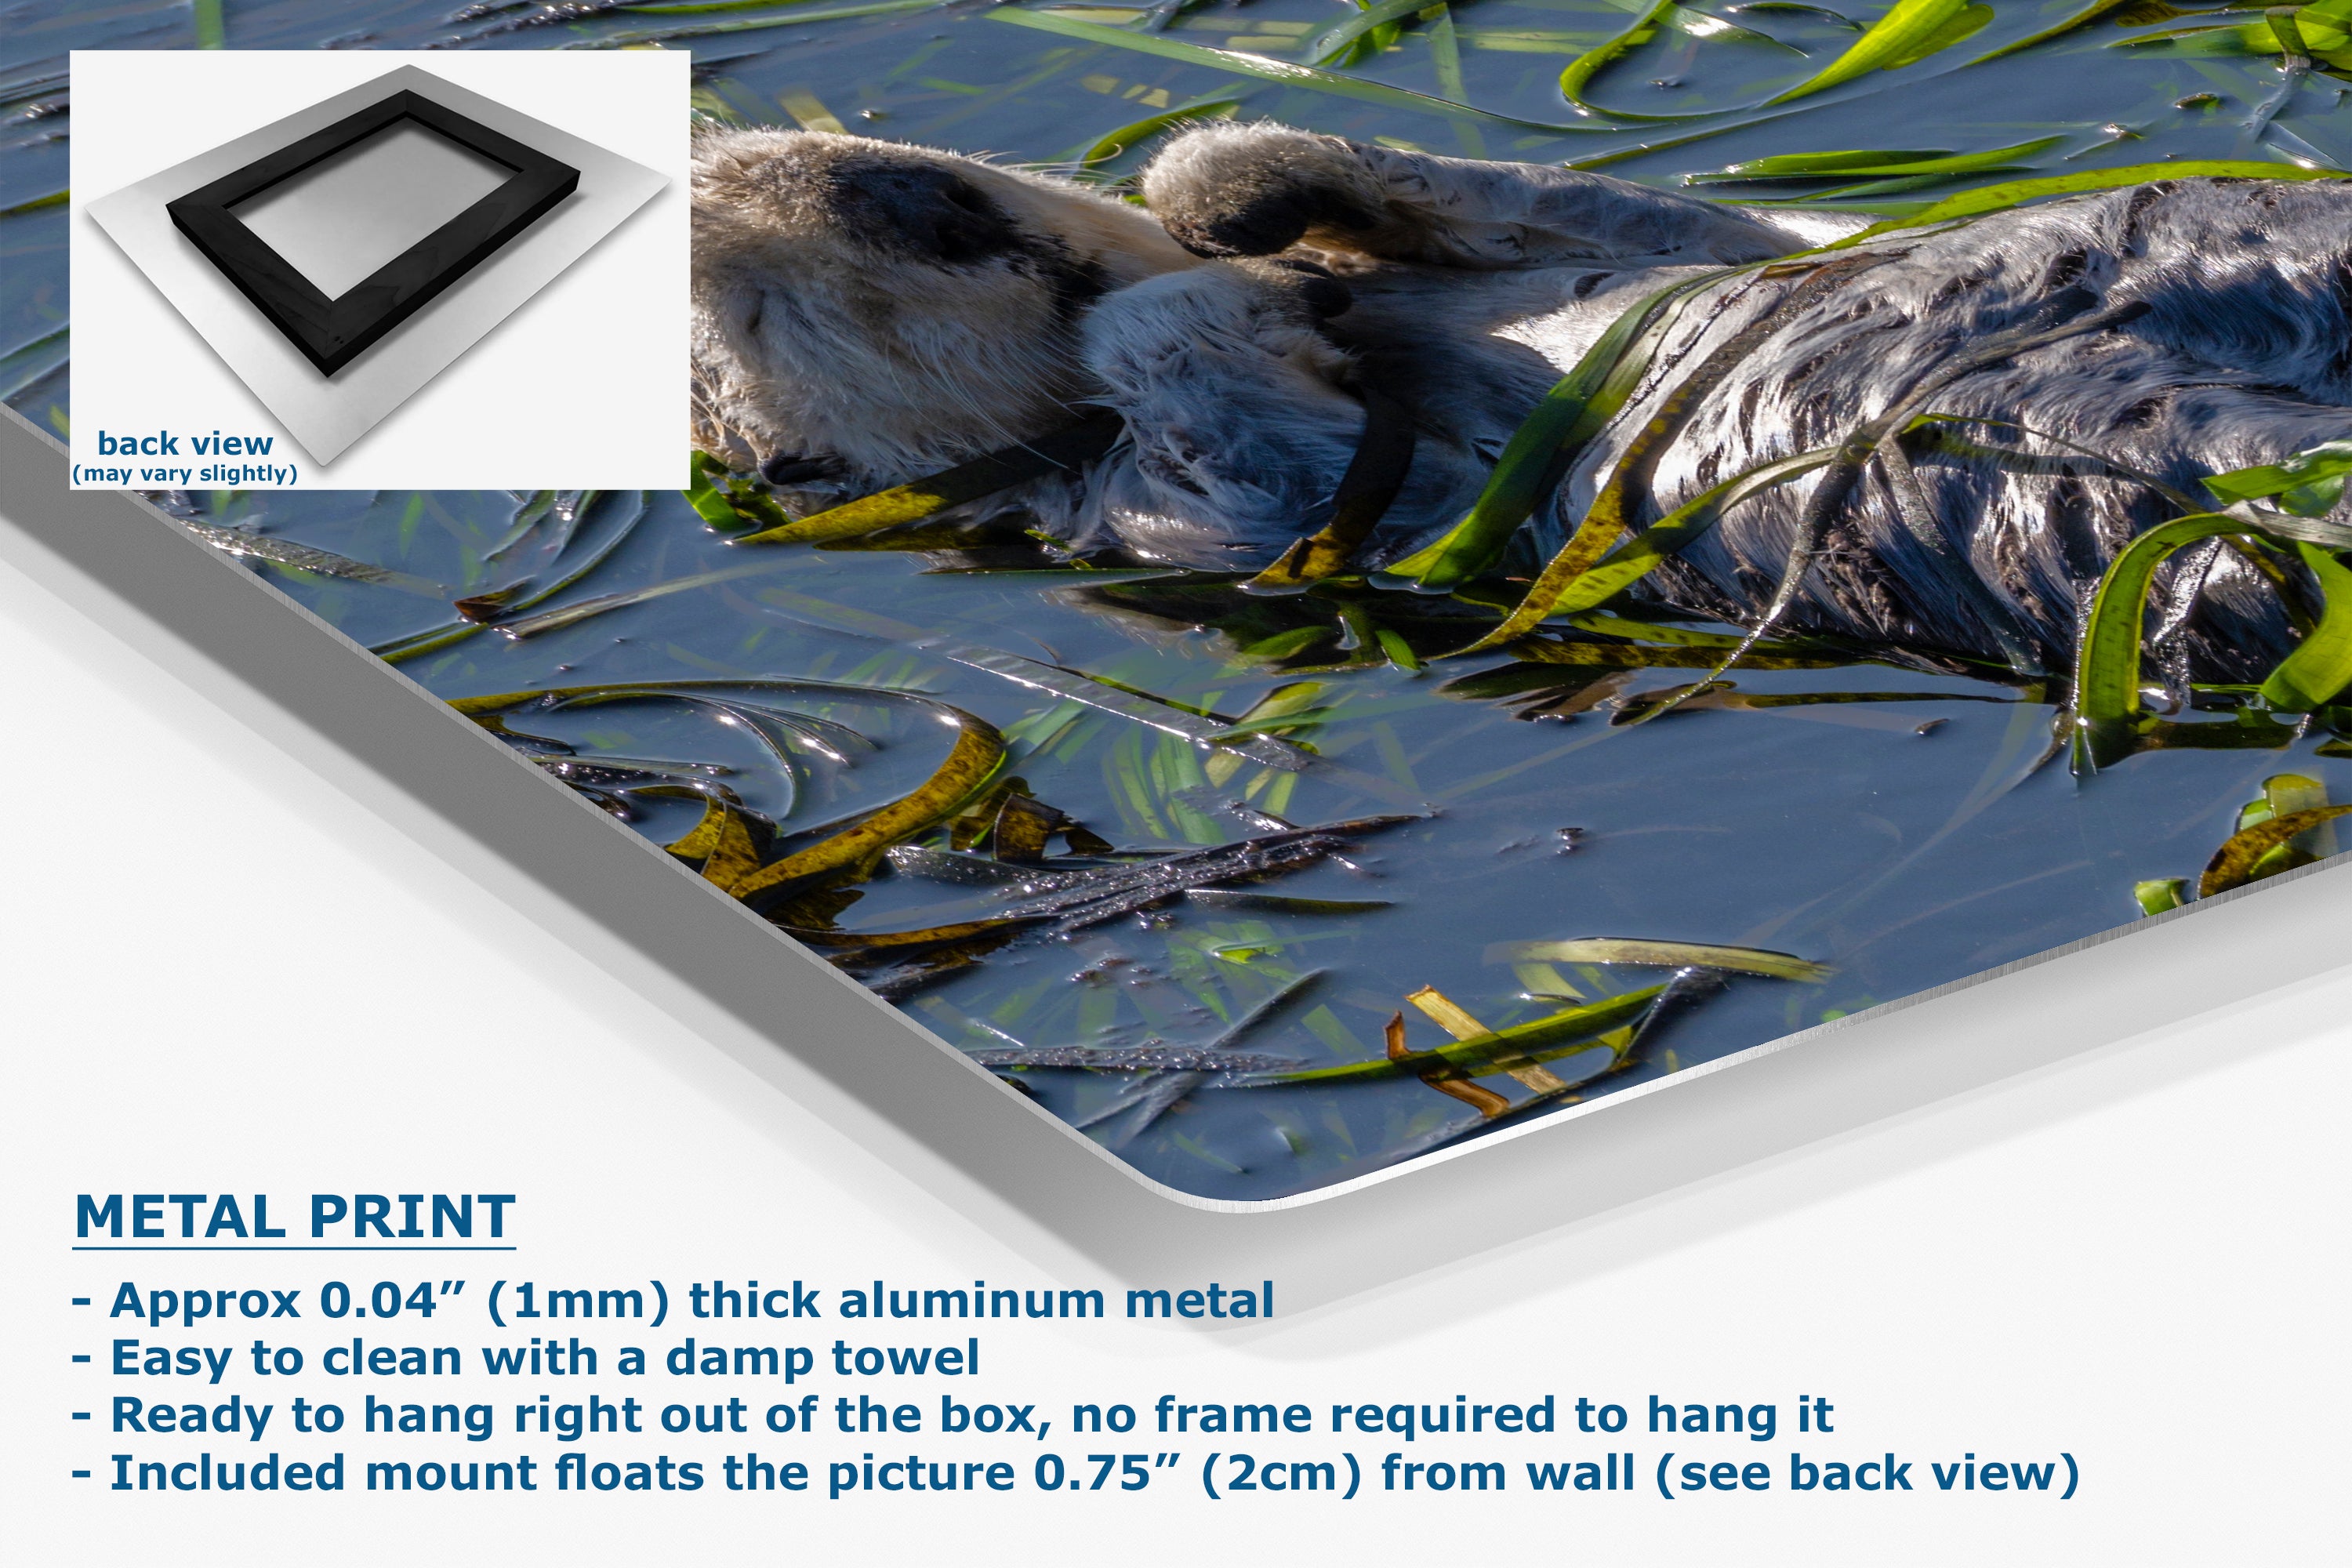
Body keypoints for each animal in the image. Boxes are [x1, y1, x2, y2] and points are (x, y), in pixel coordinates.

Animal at [689, 122, 2352, 680]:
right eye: (760, 317)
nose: (904, 198)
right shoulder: (1195, 518)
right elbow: (1233, 428)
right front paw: (1237, 294)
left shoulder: (1668, 236)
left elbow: (1605, 210)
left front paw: (1238, 201)